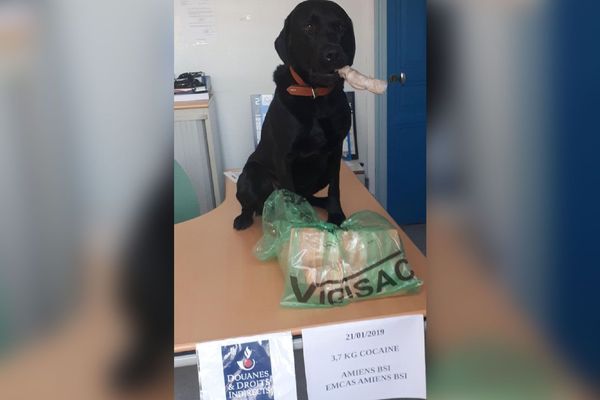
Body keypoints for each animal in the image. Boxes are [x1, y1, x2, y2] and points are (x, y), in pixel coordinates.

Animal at [232, 0, 354, 230]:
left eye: (341, 27)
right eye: (308, 27)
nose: (333, 53)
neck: (316, 96)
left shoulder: (335, 151)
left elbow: (335, 188)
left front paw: (336, 215)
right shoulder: (284, 158)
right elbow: (292, 197)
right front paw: (299, 225)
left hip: (321, 173)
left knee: (310, 196)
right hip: (250, 175)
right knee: (250, 204)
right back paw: (244, 218)